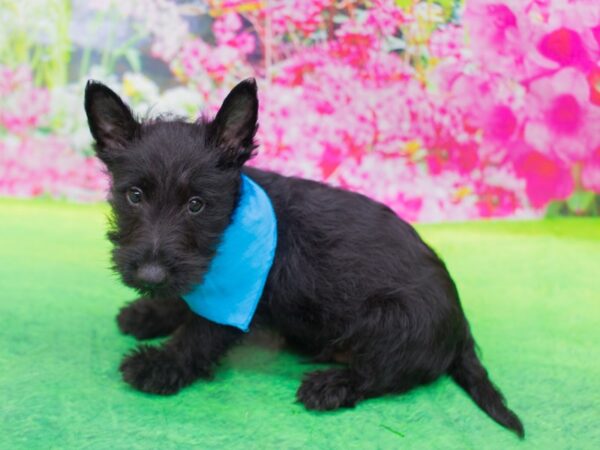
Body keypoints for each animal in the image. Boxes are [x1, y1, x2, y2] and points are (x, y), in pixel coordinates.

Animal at [84, 78, 524, 436]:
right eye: (134, 196)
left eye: (196, 204)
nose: (150, 275)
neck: (230, 222)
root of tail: (460, 323)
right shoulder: (200, 276)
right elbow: (188, 298)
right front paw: (148, 314)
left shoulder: (237, 299)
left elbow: (199, 334)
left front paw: (159, 364)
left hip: (392, 319)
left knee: (385, 374)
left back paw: (332, 385)